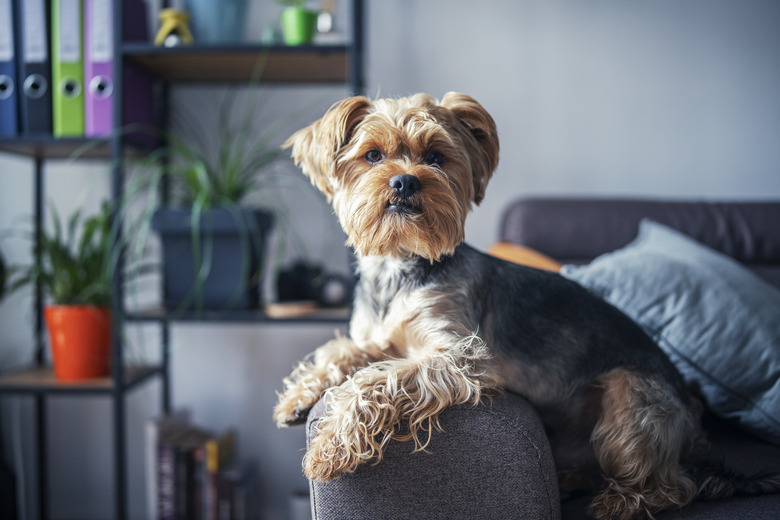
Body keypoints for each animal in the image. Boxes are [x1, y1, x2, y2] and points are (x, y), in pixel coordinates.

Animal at [276, 93, 780, 520]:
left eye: (436, 157)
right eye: (373, 156)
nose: (405, 181)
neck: (400, 267)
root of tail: (697, 434)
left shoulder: (461, 356)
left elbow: (376, 380)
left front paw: (327, 447)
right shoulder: (379, 339)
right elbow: (342, 351)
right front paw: (299, 397)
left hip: (631, 398)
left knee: (674, 484)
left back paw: (620, 502)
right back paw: (569, 479)